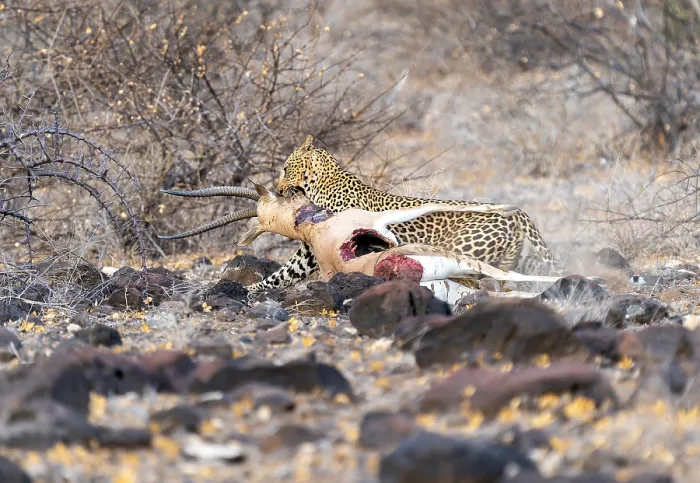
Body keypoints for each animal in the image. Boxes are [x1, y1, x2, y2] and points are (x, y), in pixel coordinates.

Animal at [245, 135, 562, 294]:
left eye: (286, 168)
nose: (279, 189)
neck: (321, 182)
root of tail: (520, 214)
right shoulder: (313, 247)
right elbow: (287, 270)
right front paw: (254, 288)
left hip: (463, 248)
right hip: (508, 256)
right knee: (504, 283)